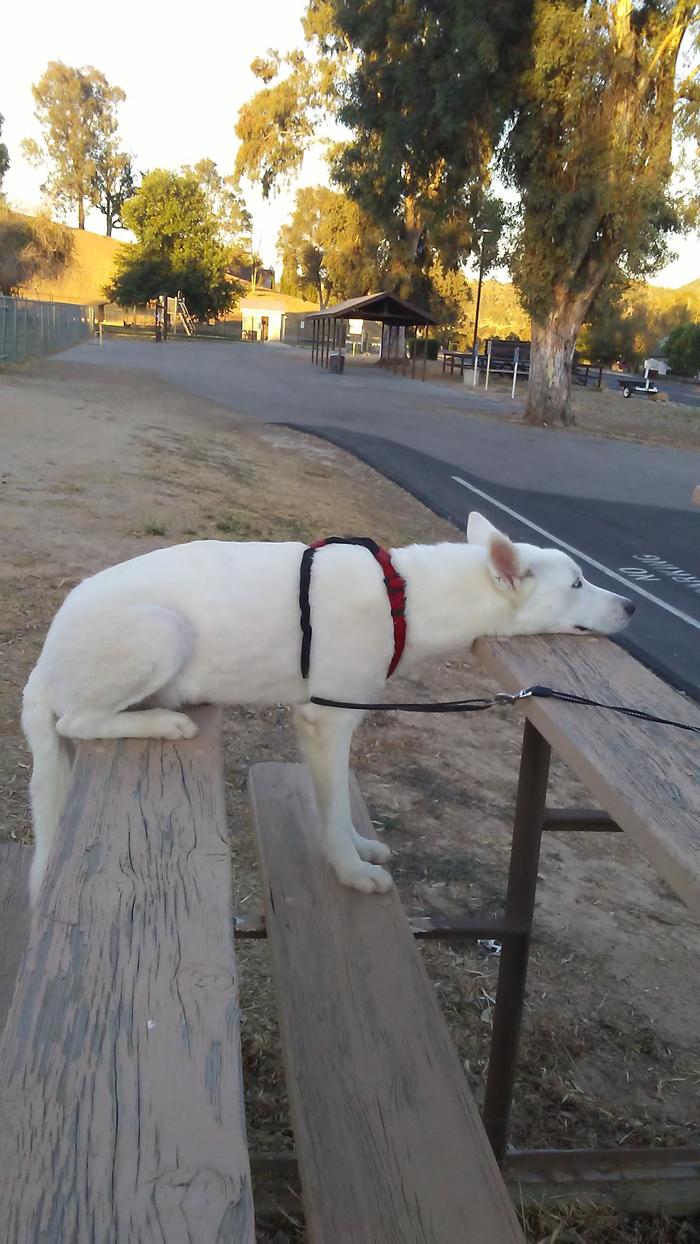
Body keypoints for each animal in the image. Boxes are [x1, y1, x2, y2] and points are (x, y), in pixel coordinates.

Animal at [21, 515, 636, 905]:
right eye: (578, 583)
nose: (631, 606)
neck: (404, 597)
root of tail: (42, 666)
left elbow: (333, 807)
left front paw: (357, 850)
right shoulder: (327, 721)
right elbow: (337, 810)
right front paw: (351, 871)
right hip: (164, 630)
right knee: (77, 720)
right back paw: (163, 720)